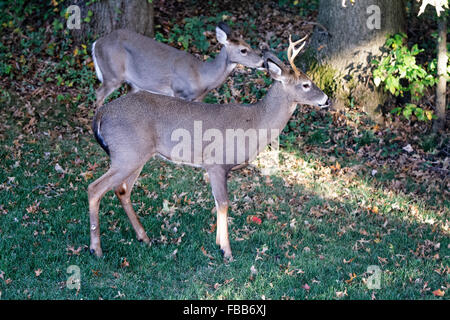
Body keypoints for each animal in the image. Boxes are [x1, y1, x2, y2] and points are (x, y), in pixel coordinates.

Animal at [88, 35, 328, 260]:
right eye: (306, 84)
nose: (326, 99)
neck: (255, 122)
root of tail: (101, 115)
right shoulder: (216, 163)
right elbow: (223, 202)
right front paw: (226, 251)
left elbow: (217, 202)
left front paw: (218, 242)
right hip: (126, 154)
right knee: (95, 188)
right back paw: (96, 249)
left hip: (136, 156)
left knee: (122, 190)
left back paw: (144, 237)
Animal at [91, 22, 264, 105]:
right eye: (243, 50)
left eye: (248, 44)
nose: (262, 61)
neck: (203, 76)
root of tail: (96, 43)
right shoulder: (179, 92)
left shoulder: (199, 99)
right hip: (112, 74)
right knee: (98, 94)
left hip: (133, 83)